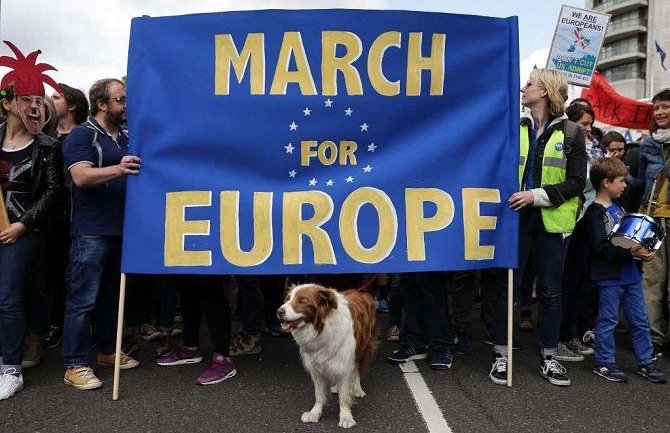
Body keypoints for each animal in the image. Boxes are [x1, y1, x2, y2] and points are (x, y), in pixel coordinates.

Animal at [276, 282, 378, 426]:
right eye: (288, 299)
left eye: (303, 301)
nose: (279, 311)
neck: (321, 328)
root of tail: (361, 292)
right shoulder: (316, 366)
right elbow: (319, 394)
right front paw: (315, 413)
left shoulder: (345, 361)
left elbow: (345, 395)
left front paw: (346, 417)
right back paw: (336, 387)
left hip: (363, 348)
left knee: (356, 369)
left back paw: (357, 389)